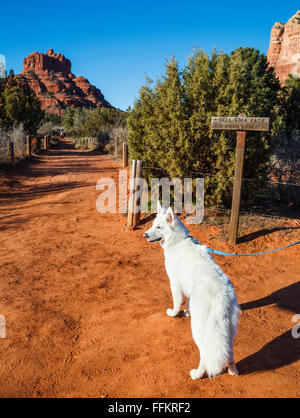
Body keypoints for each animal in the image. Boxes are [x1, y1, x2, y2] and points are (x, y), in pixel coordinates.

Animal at [144, 202, 240, 378]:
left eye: (159, 227)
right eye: (153, 225)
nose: (144, 235)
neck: (177, 241)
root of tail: (220, 297)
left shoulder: (175, 284)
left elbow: (177, 304)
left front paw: (174, 314)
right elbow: (187, 303)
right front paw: (187, 312)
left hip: (198, 329)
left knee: (205, 354)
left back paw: (197, 374)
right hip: (229, 330)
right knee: (229, 351)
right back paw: (232, 369)